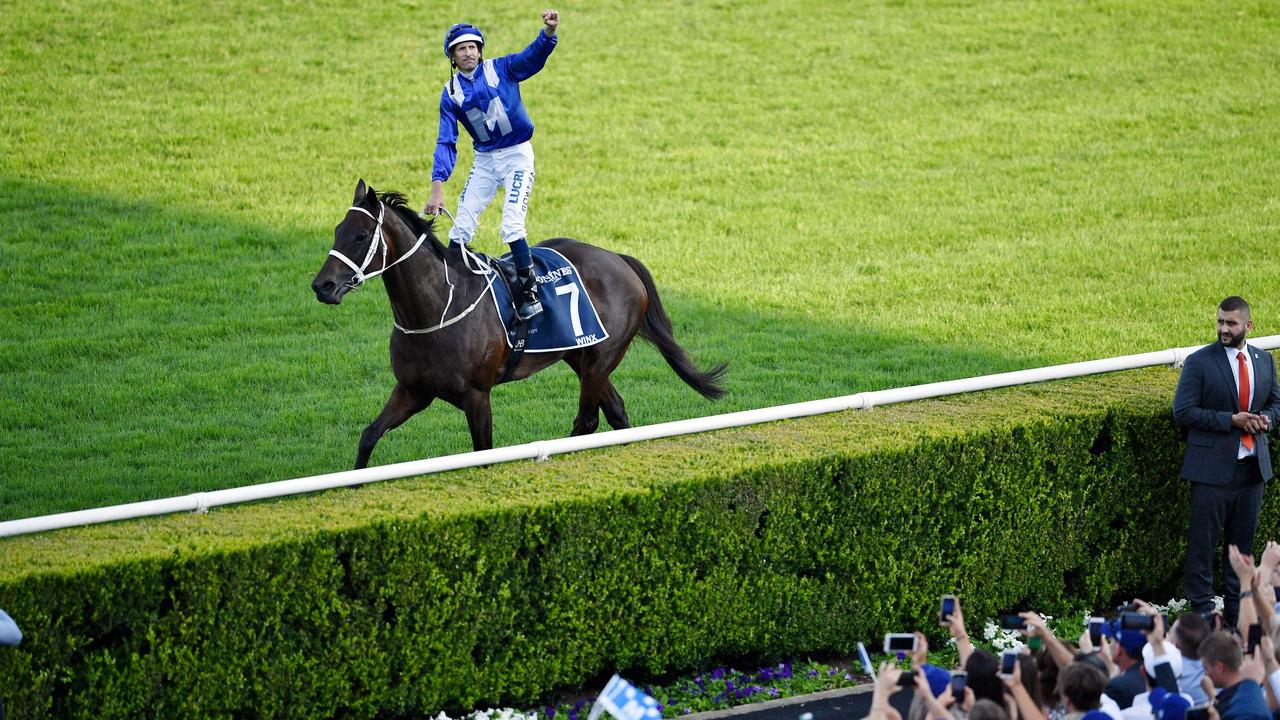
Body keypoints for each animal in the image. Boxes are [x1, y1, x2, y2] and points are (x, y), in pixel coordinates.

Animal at [312, 180, 732, 466]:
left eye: (361, 235)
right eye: (336, 231)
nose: (322, 286)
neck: (436, 308)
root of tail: (617, 257)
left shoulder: (476, 395)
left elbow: (482, 452)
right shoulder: (413, 390)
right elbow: (368, 437)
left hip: (601, 359)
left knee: (587, 421)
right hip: (580, 357)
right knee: (615, 413)